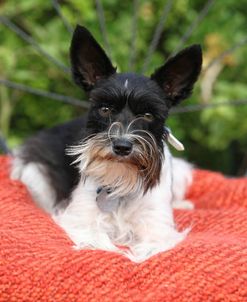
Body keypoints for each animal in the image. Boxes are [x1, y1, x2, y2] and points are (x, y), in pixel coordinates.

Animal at [10, 25, 202, 262]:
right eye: (104, 109)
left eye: (148, 115)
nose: (122, 146)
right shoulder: (80, 220)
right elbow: (100, 242)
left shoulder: (157, 227)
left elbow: (150, 247)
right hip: (34, 175)